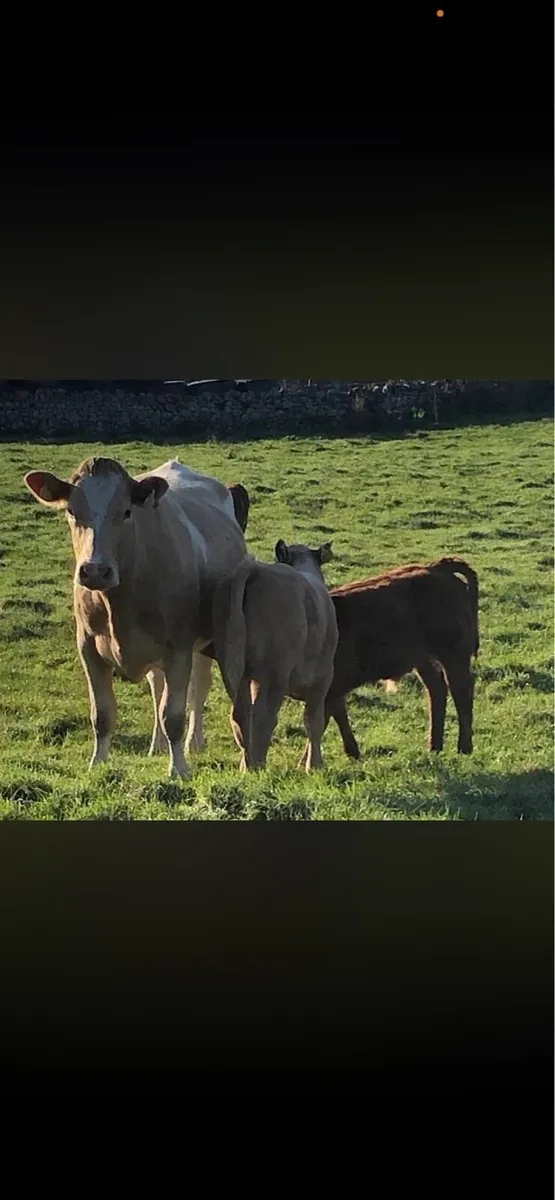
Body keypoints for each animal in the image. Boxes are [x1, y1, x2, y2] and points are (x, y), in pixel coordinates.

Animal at [23, 457, 248, 778]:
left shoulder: (179, 650)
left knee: (199, 688)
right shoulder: (88, 648)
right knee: (157, 687)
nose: (95, 570)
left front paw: (179, 769)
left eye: (127, 511)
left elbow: (173, 715)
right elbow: (102, 714)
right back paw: (157, 745)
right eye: (71, 511)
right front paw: (97, 763)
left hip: (207, 640)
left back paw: (194, 743)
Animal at [211, 541, 338, 771]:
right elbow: (314, 720)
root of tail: (257, 569)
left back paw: (247, 765)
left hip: (234, 669)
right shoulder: (323, 677)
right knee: (263, 717)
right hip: (274, 673)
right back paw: (258, 765)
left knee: (241, 715)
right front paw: (314, 765)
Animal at [275, 549, 479, 760]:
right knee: (437, 690)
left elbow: (322, 722)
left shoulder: (329, 688)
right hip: (424, 659)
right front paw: (351, 751)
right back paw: (434, 746)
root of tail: (437, 568)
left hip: (454, 654)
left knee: (461, 692)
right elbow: (336, 716)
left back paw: (464, 747)